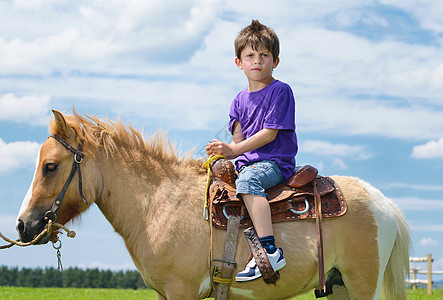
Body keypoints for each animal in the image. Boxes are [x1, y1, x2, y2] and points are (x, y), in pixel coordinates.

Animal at [15, 110, 412, 300]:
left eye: (50, 166)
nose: (22, 225)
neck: (158, 203)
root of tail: (382, 202)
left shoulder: (182, 291)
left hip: (361, 286)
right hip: (339, 286)